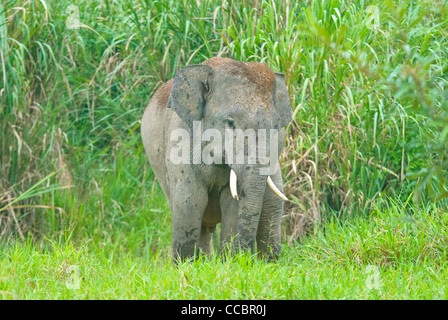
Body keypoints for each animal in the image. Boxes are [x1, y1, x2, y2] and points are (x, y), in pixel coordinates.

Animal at [142, 57, 292, 262]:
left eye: (277, 127)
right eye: (230, 122)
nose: (245, 257)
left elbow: (232, 202)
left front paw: (231, 262)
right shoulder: (179, 139)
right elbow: (190, 200)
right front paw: (185, 265)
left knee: (272, 208)